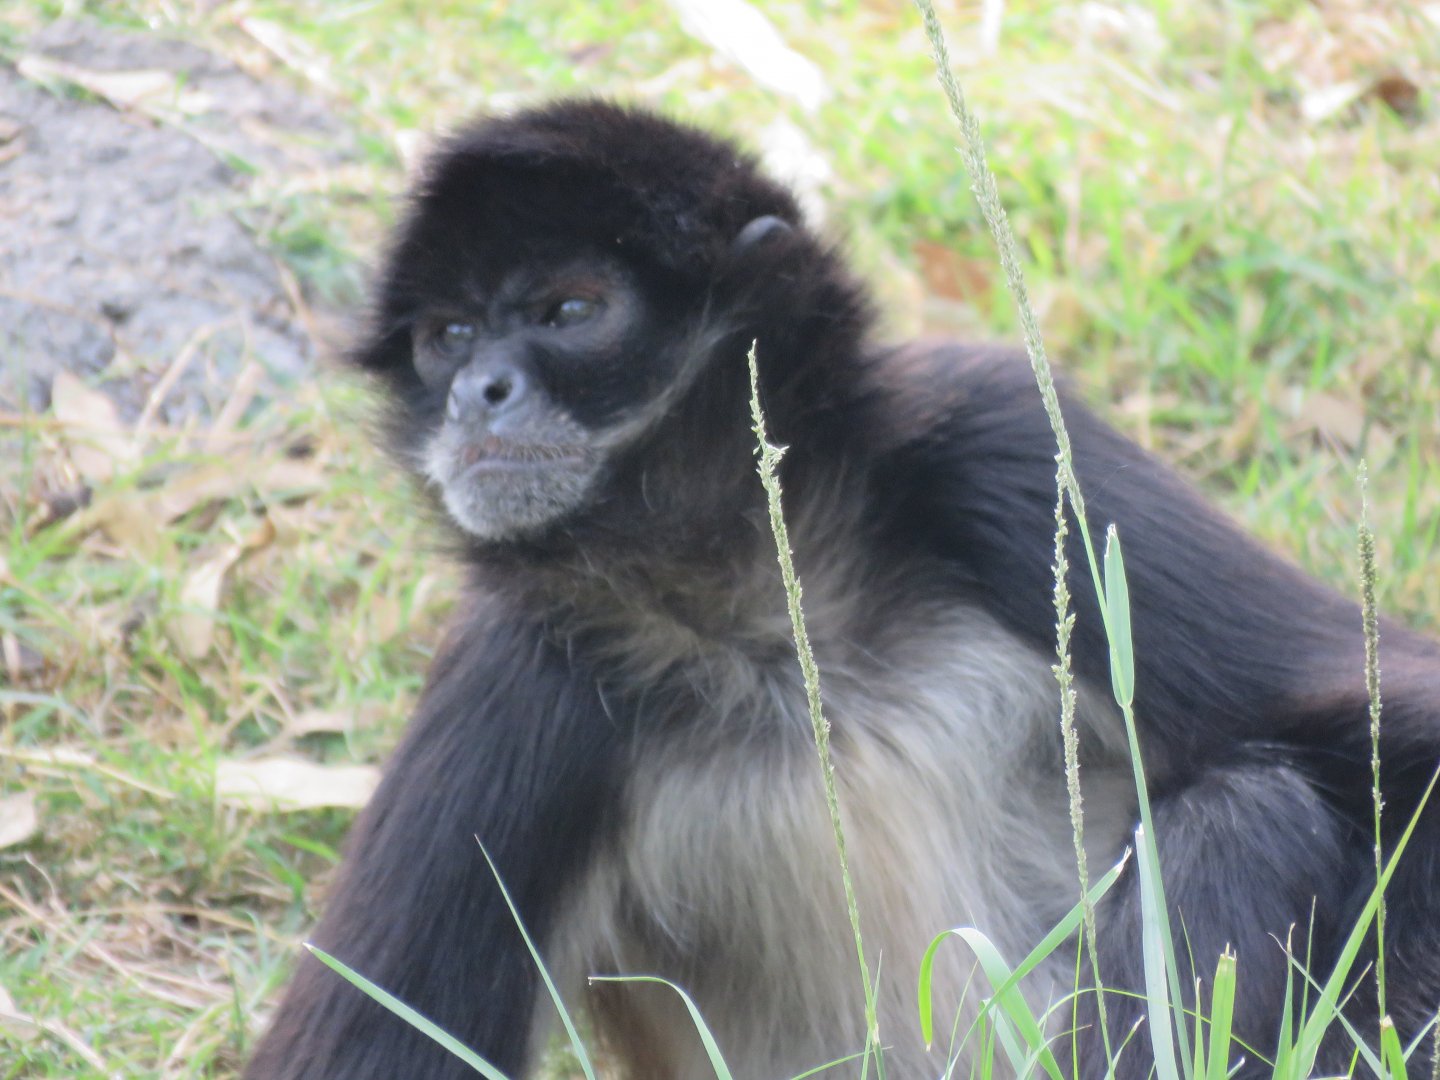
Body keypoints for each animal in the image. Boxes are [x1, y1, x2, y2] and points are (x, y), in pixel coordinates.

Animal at [244, 100, 1440, 1080]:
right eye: (447, 338)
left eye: (571, 310)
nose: (478, 393)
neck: (773, 625)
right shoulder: (519, 670)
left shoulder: (993, 440)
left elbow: (1409, 741)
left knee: (1245, 808)